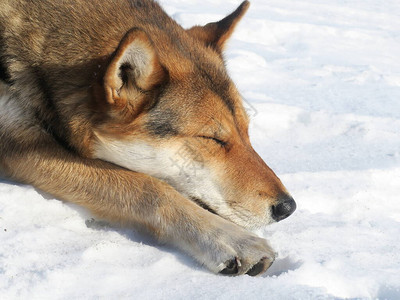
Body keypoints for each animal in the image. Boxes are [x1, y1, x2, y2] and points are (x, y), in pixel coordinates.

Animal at [0, 0, 294, 276]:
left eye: (246, 131)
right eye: (212, 139)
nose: (288, 207)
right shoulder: (22, 147)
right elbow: (150, 187)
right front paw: (234, 240)